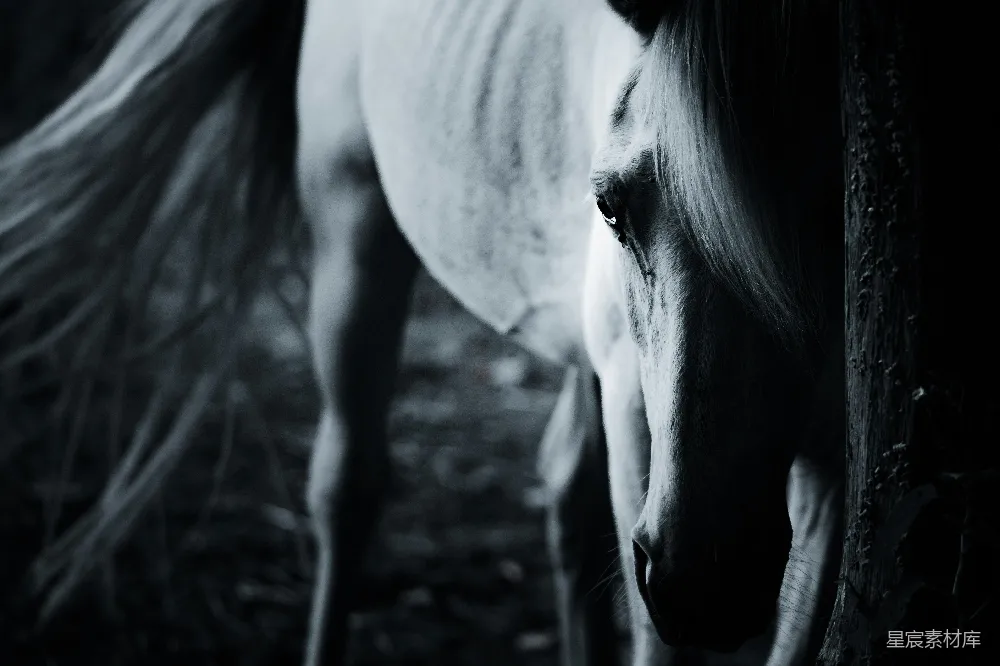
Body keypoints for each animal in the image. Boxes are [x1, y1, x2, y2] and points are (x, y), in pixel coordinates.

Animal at [0, 0, 846, 665]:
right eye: (611, 207)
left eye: (833, 214)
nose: (705, 584)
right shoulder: (640, 420)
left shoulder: (831, 464)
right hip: (354, 234)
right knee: (348, 486)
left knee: (564, 492)